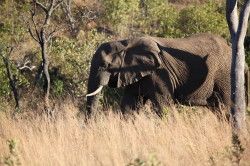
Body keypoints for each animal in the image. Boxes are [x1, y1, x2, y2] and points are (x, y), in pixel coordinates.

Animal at [87, 33, 247, 116]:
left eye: (105, 65)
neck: (125, 42)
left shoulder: (160, 73)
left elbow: (163, 104)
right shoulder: (134, 72)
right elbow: (129, 105)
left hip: (225, 75)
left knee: (225, 108)